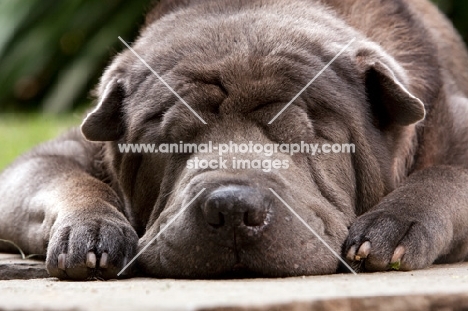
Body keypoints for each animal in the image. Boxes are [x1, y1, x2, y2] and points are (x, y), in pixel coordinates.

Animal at [0, 0, 468, 280]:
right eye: (168, 142)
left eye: (305, 136)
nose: (231, 208)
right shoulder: (64, 152)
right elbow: (59, 174)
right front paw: (91, 229)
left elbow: (446, 176)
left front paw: (393, 224)